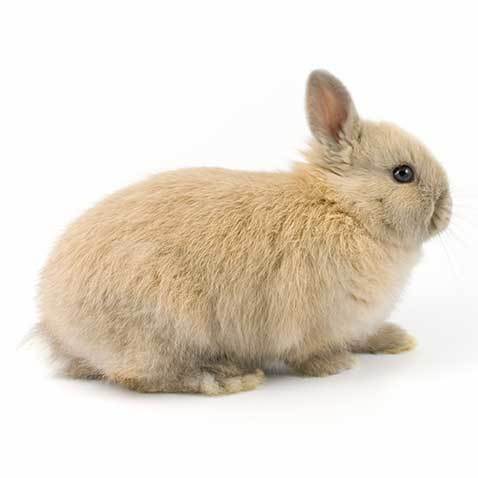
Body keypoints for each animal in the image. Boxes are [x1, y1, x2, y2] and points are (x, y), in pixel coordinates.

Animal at [36, 70, 452, 392]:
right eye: (403, 173)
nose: (446, 210)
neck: (343, 207)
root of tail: (56, 326)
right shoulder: (310, 319)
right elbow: (310, 353)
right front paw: (337, 366)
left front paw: (396, 339)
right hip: (162, 324)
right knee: (146, 377)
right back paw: (230, 378)